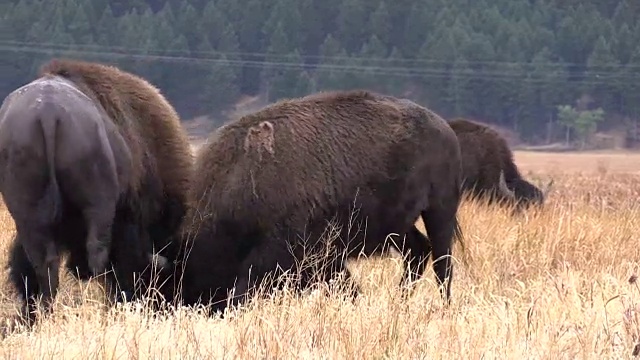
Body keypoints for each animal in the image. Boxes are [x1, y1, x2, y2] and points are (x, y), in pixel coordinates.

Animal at [168, 88, 462, 310]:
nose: (190, 304)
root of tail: (445, 128)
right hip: (397, 228)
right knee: (418, 251)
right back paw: (399, 303)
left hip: (439, 210)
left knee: (442, 263)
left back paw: (444, 307)